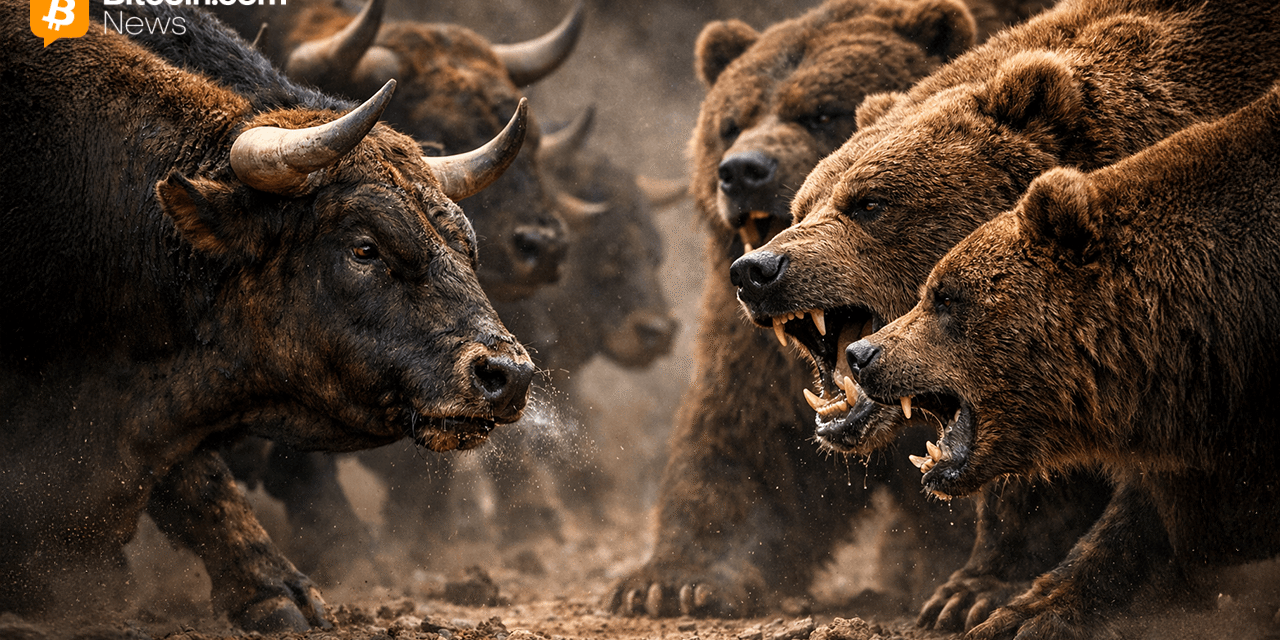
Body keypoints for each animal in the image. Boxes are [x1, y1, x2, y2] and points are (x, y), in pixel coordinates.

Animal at [607, 0, 984, 619]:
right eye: (730, 122)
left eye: (823, 111)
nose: (742, 170)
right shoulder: (755, 346)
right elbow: (745, 438)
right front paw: (669, 581)